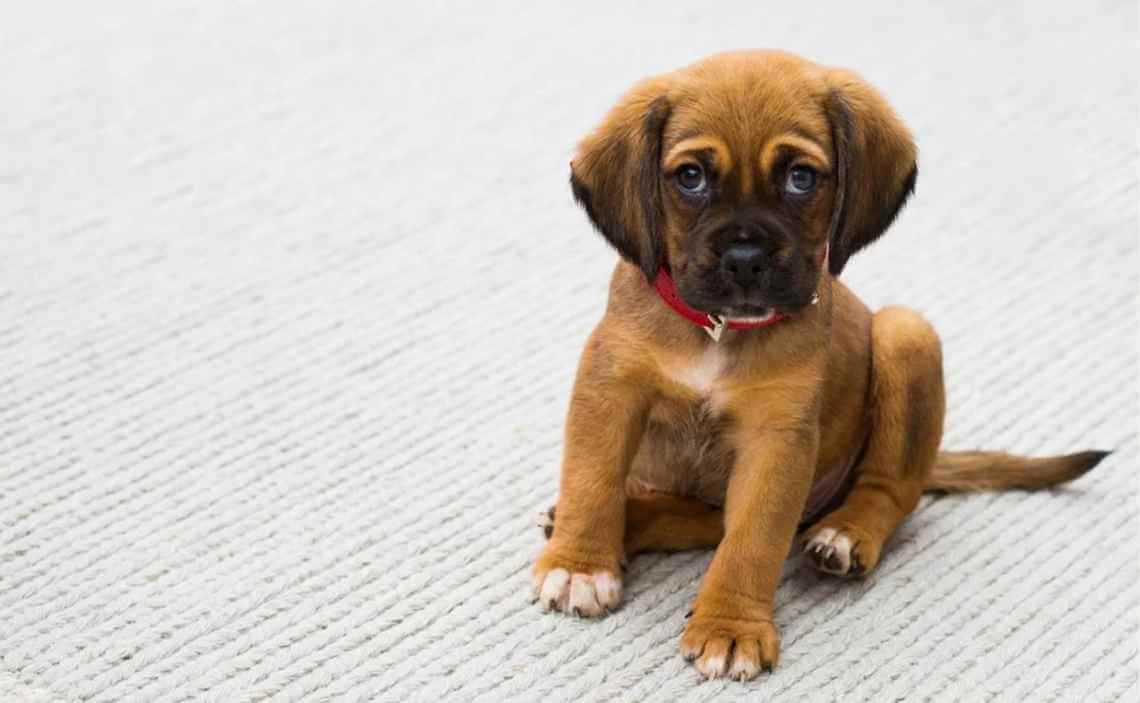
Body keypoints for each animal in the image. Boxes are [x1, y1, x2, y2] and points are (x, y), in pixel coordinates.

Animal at [535, 52, 1112, 683]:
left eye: (800, 178)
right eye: (690, 177)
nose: (745, 258)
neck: (718, 331)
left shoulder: (777, 441)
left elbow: (754, 540)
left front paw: (731, 627)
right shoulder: (610, 390)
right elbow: (591, 481)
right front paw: (581, 564)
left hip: (906, 335)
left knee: (890, 490)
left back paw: (846, 534)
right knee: (702, 520)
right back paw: (624, 522)